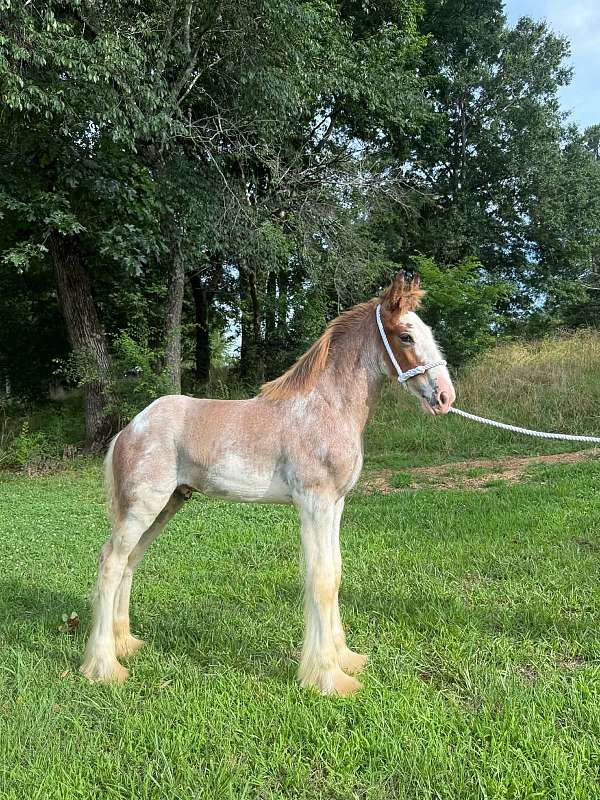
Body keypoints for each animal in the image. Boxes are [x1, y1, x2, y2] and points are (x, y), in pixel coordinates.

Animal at [80, 272, 455, 695]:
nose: (445, 396)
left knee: (130, 561)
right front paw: (327, 678)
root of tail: (130, 428)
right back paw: (103, 667)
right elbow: (321, 579)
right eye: (406, 336)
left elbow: (336, 572)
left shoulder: (335, 505)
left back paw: (125, 645)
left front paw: (346, 659)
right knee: (111, 562)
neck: (325, 408)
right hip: (143, 506)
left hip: (166, 505)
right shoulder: (314, 503)